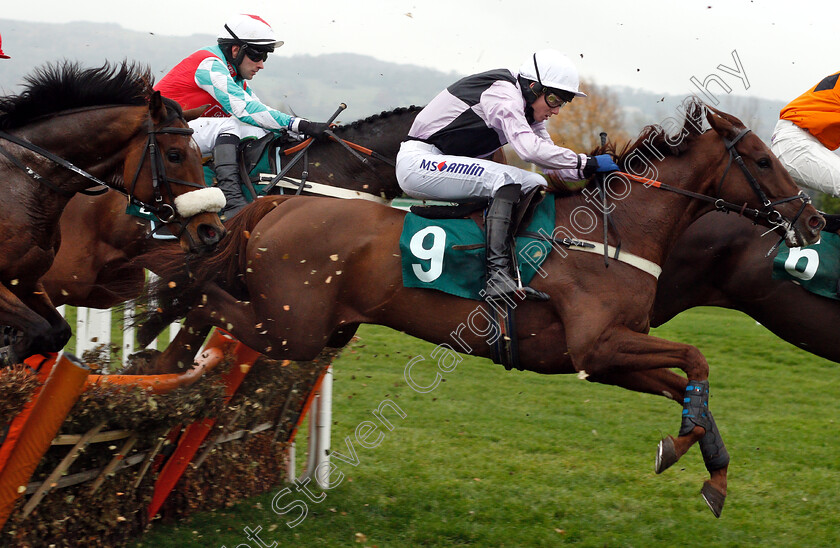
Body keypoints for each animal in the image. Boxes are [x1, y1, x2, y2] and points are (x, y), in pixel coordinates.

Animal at [0, 62, 225, 364]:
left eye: (200, 155)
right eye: (174, 155)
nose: (211, 231)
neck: (24, 179)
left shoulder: (27, 280)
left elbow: (55, 331)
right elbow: (40, 330)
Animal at [141, 100, 824, 516]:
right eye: (762, 160)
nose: (814, 220)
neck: (615, 232)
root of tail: (279, 201)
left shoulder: (605, 360)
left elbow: (689, 390)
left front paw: (705, 467)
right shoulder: (598, 345)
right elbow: (699, 358)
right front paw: (686, 451)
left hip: (308, 324)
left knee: (207, 299)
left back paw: (165, 358)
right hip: (294, 327)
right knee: (203, 293)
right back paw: (160, 349)